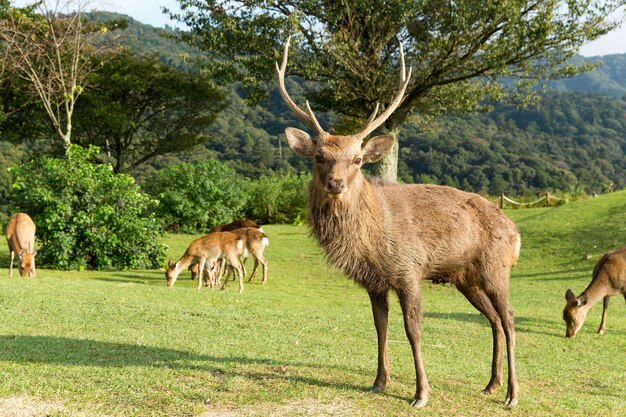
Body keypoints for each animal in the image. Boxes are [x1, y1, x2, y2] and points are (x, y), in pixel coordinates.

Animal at [276, 36, 520, 406]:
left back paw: (512, 393)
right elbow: (380, 326)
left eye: (358, 159)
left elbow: (412, 329)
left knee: (508, 318)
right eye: (319, 157)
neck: (371, 242)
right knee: (492, 319)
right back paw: (490, 384)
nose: (336, 183)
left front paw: (421, 392)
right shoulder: (374, 282)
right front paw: (379, 381)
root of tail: (516, 232)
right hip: (466, 277)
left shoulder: (409, 270)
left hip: (496, 267)